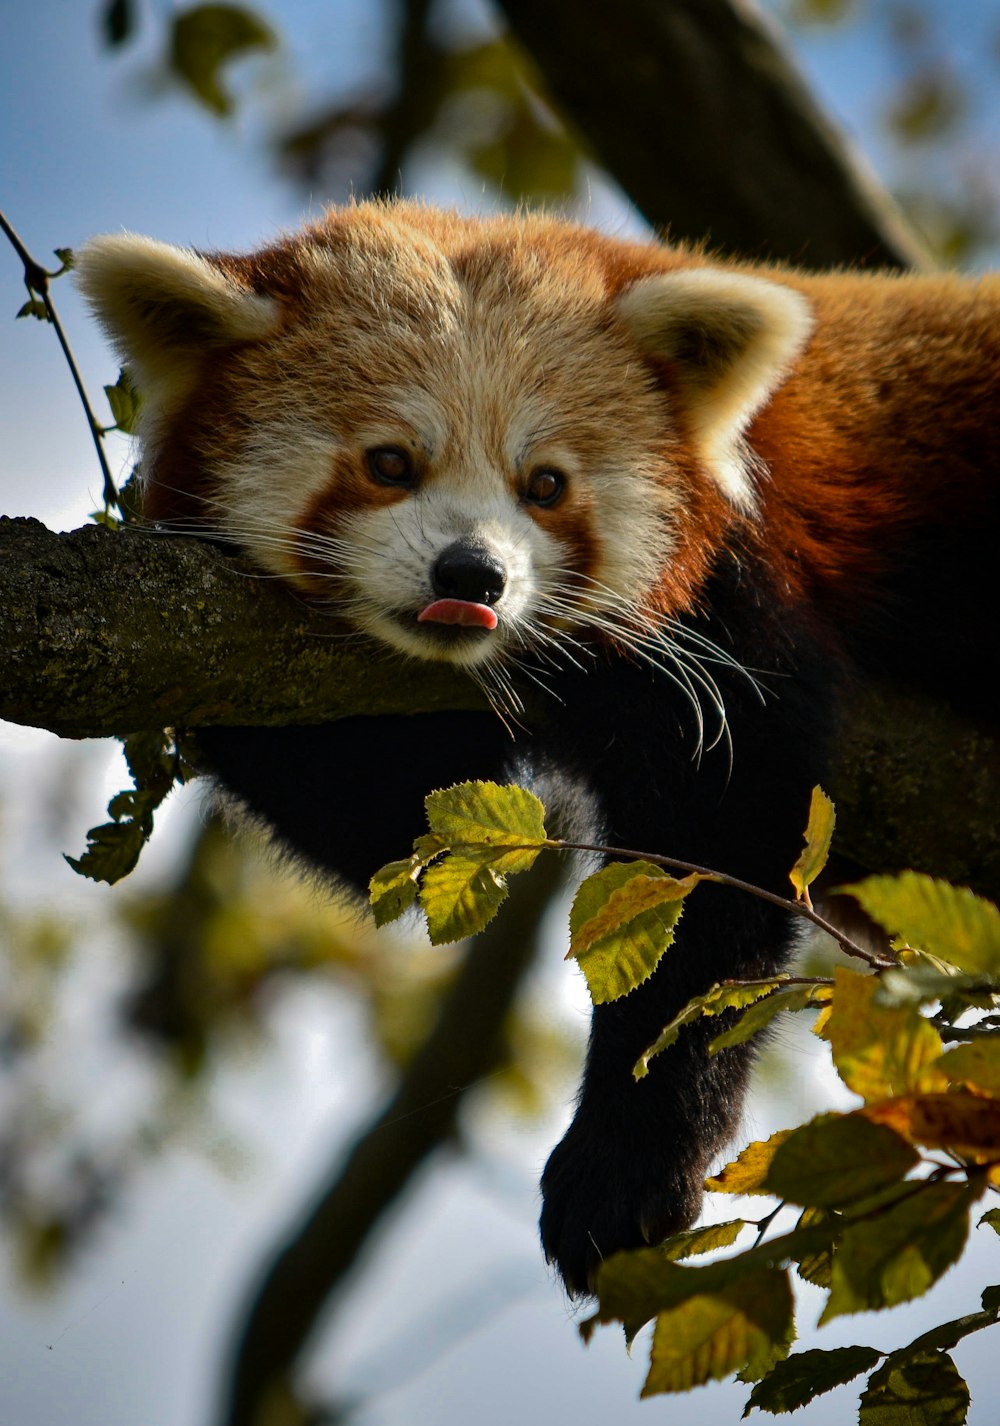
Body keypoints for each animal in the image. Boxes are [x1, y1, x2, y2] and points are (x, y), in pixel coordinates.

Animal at [74, 203, 992, 1306]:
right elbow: (383, 823)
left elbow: (711, 893)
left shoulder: (729, 618)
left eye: (545, 484)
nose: (472, 574)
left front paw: (625, 1172)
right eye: (391, 462)